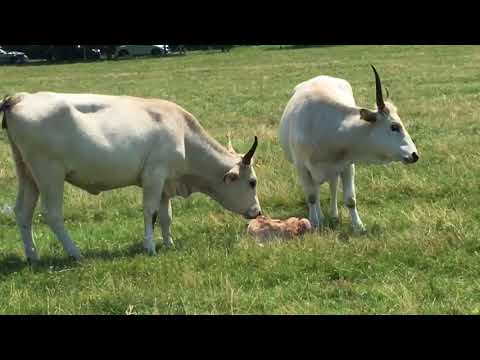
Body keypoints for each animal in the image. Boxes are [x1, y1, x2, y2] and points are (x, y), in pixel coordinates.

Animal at [0, 93, 262, 262]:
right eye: (252, 182)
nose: (258, 212)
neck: (183, 134)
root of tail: (20, 97)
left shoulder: (166, 182)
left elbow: (166, 216)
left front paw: (169, 243)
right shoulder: (154, 175)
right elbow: (151, 212)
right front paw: (150, 247)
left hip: (27, 173)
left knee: (23, 212)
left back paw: (32, 256)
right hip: (49, 173)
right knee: (52, 214)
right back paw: (75, 253)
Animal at [280, 65, 418, 232]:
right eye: (394, 126)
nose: (414, 154)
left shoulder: (346, 165)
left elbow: (350, 199)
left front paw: (358, 226)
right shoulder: (302, 168)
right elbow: (312, 197)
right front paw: (315, 222)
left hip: (333, 170)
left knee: (332, 186)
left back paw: (333, 215)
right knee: (316, 191)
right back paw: (320, 216)